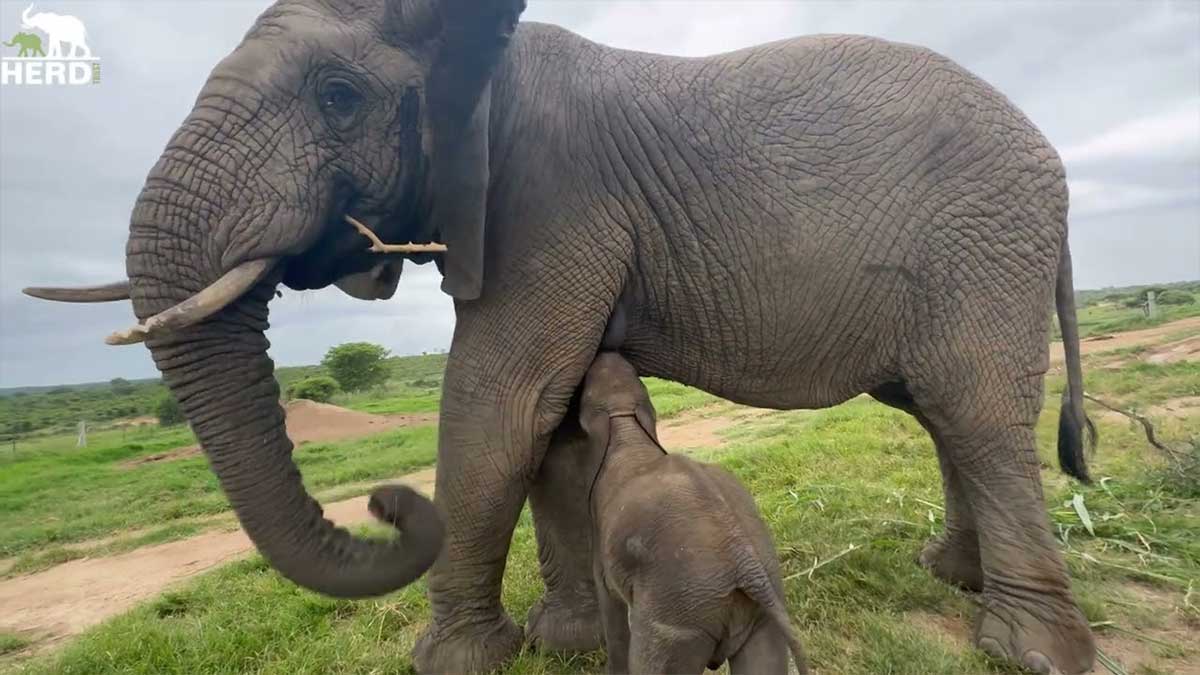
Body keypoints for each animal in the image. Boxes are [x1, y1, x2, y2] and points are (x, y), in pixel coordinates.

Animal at [573, 353, 806, 672]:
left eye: (585, 387)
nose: (604, 353)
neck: (624, 419)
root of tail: (745, 562)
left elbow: (610, 602)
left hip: (677, 617)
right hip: (760, 607)